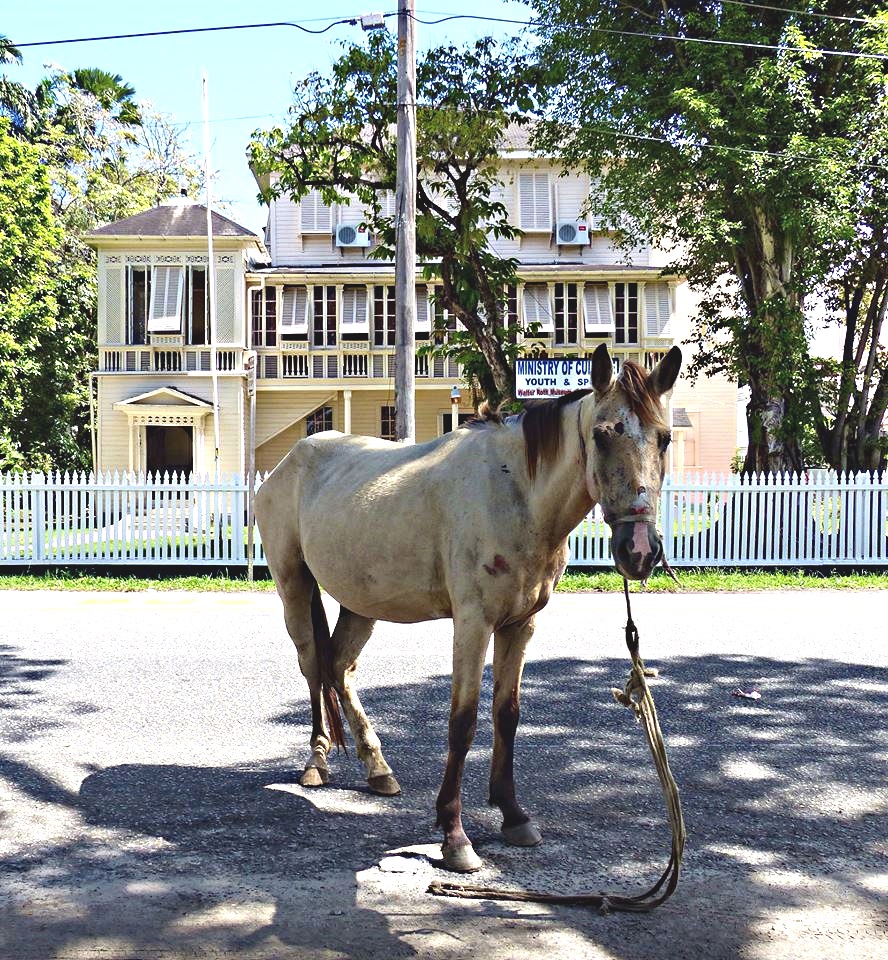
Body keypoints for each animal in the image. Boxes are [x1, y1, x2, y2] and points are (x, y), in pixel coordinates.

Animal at [253, 342, 684, 872]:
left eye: (664, 438)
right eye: (603, 436)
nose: (638, 550)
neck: (516, 491)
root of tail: (289, 461)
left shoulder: (520, 625)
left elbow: (507, 714)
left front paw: (513, 815)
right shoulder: (473, 623)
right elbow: (463, 721)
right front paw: (454, 835)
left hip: (361, 601)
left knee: (340, 666)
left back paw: (377, 767)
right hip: (294, 586)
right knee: (314, 666)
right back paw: (317, 761)